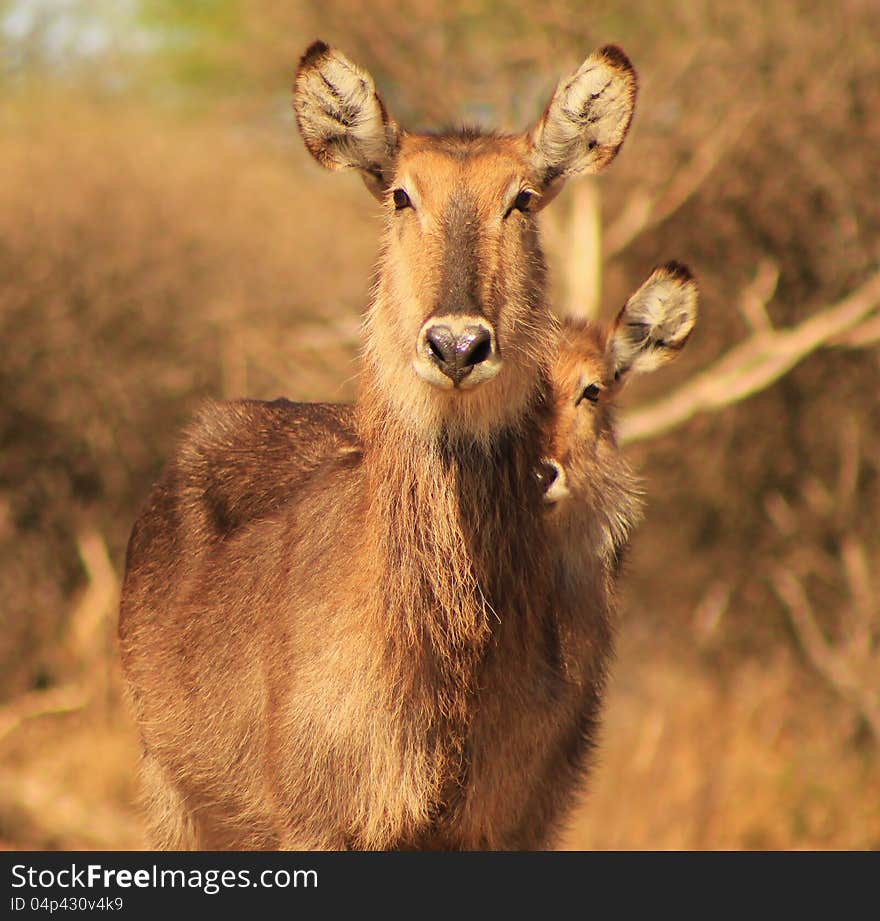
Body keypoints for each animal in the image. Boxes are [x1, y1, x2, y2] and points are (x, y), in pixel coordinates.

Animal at [118, 41, 640, 848]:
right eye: (401, 194)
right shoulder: (318, 821)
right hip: (176, 799)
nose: (456, 344)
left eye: (522, 198)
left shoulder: (500, 827)